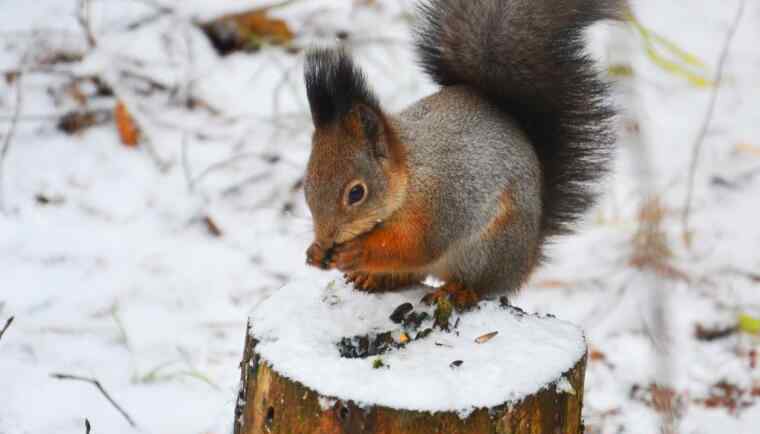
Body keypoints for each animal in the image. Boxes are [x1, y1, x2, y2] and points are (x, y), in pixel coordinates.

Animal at [300, 0, 628, 308]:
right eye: (307, 185)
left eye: (357, 193)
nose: (326, 238)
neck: (410, 175)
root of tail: (526, 259)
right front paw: (314, 252)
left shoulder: (440, 203)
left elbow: (415, 246)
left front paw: (356, 251)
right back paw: (375, 278)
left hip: (488, 250)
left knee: (478, 284)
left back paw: (458, 291)